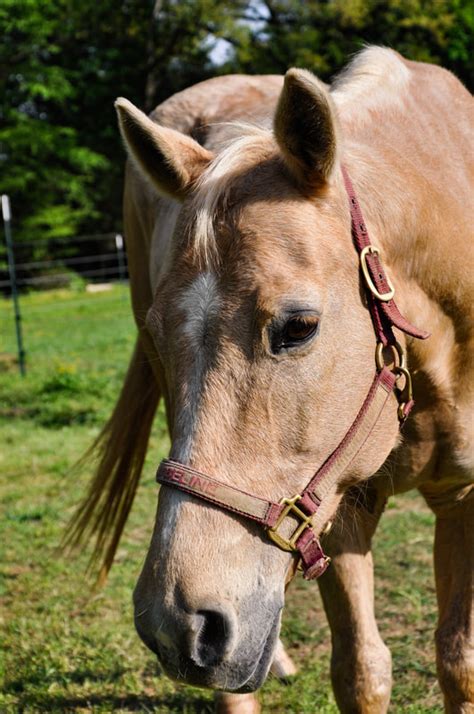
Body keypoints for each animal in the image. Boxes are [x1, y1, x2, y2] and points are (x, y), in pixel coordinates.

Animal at [70, 47, 474, 708]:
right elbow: (361, 672)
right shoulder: (337, 509)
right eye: (158, 336)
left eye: (299, 327)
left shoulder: (460, 495)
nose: (177, 625)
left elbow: (457, 661)